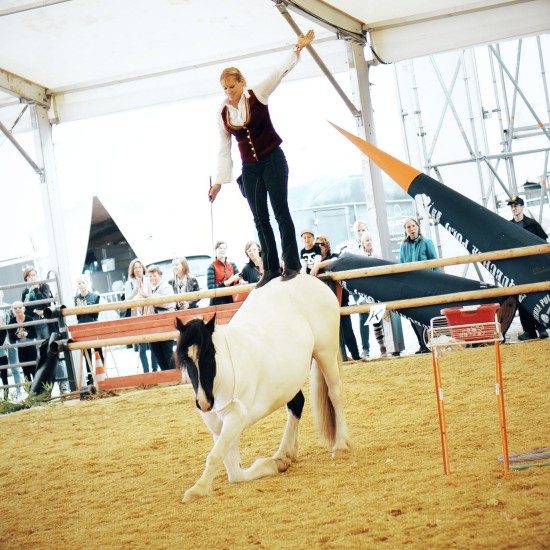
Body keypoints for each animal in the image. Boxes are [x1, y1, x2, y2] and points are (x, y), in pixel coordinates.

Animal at [175, 276, 352, 504]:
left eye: (208, 353)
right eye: (185, 359)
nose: (204, 403)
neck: (221, 375)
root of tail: (311, 279)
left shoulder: (235, 417)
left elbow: (215, 457)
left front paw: (197, 489)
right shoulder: (218, 425)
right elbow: (234, 471)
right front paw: (273, 465)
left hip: (325, 352)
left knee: (335, 394)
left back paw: (340, 446)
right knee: (297, 404)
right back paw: (284, 454)